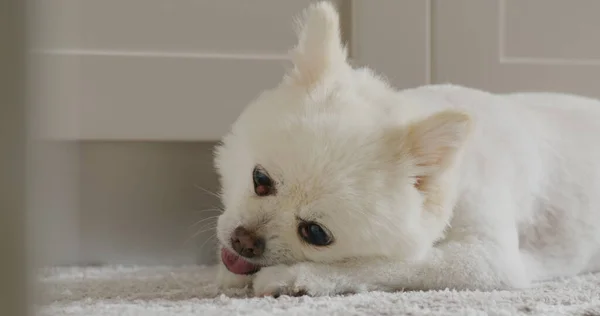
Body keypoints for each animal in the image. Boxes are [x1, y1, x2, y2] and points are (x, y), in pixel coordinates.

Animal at [211, 1, 600, 296]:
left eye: (316, 234)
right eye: (260, 179)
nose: (245, 241)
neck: (452, 171)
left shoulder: (488, 260)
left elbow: (390, 263)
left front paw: (293, 276)